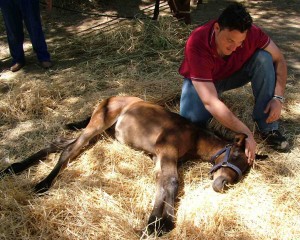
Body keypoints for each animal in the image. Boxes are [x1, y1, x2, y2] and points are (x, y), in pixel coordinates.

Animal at [1, 95, 254, 234]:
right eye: (236, 156)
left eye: (244, 171)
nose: (222, 185)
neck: (193, 136)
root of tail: (110, 98)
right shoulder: (166, 151)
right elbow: (171, 182)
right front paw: (158, 225)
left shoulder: (158, 157)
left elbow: (162, 183)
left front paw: (157, 223)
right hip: (98, 124)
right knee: (68, 150)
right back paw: (42, 184)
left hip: (101, 134)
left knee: (57, 143)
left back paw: (14, 168)